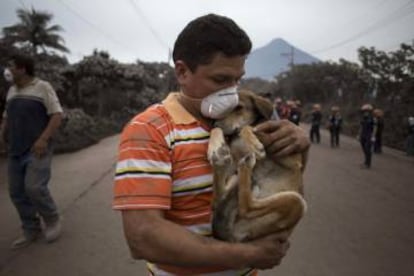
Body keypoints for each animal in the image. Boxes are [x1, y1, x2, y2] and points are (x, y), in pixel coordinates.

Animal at [209, 90, 306, 242]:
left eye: (239, 107)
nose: (214, 123)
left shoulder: (287, 154)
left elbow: (247, 128)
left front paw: (254, 144)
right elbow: (231, 130)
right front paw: (214, 144)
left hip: (297, 202)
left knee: (247, 207)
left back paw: (244, 164)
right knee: (222, 197)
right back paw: (224, 160)